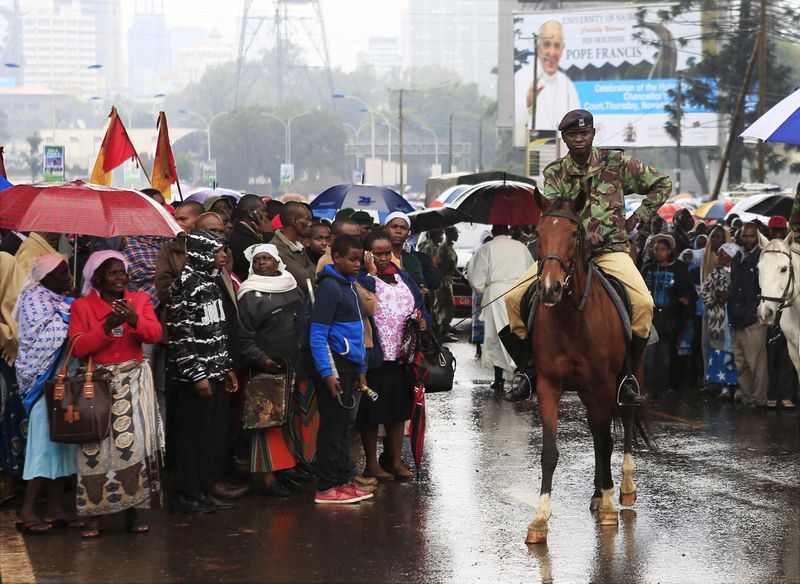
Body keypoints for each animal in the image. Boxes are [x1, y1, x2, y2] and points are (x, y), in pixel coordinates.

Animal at [528, 189, 648, 544]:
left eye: (573, 234)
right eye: (538, 232)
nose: (550, 288)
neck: (571, 317)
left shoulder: (605, 385)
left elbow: (607, 441)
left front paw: (609, 505)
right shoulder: (549, 386)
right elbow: (550, 452)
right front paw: (540, 519)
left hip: (630, 375)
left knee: (624, 423)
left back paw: (622, 488)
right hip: (585, 391)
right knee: (596, 433)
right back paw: (597, 493)